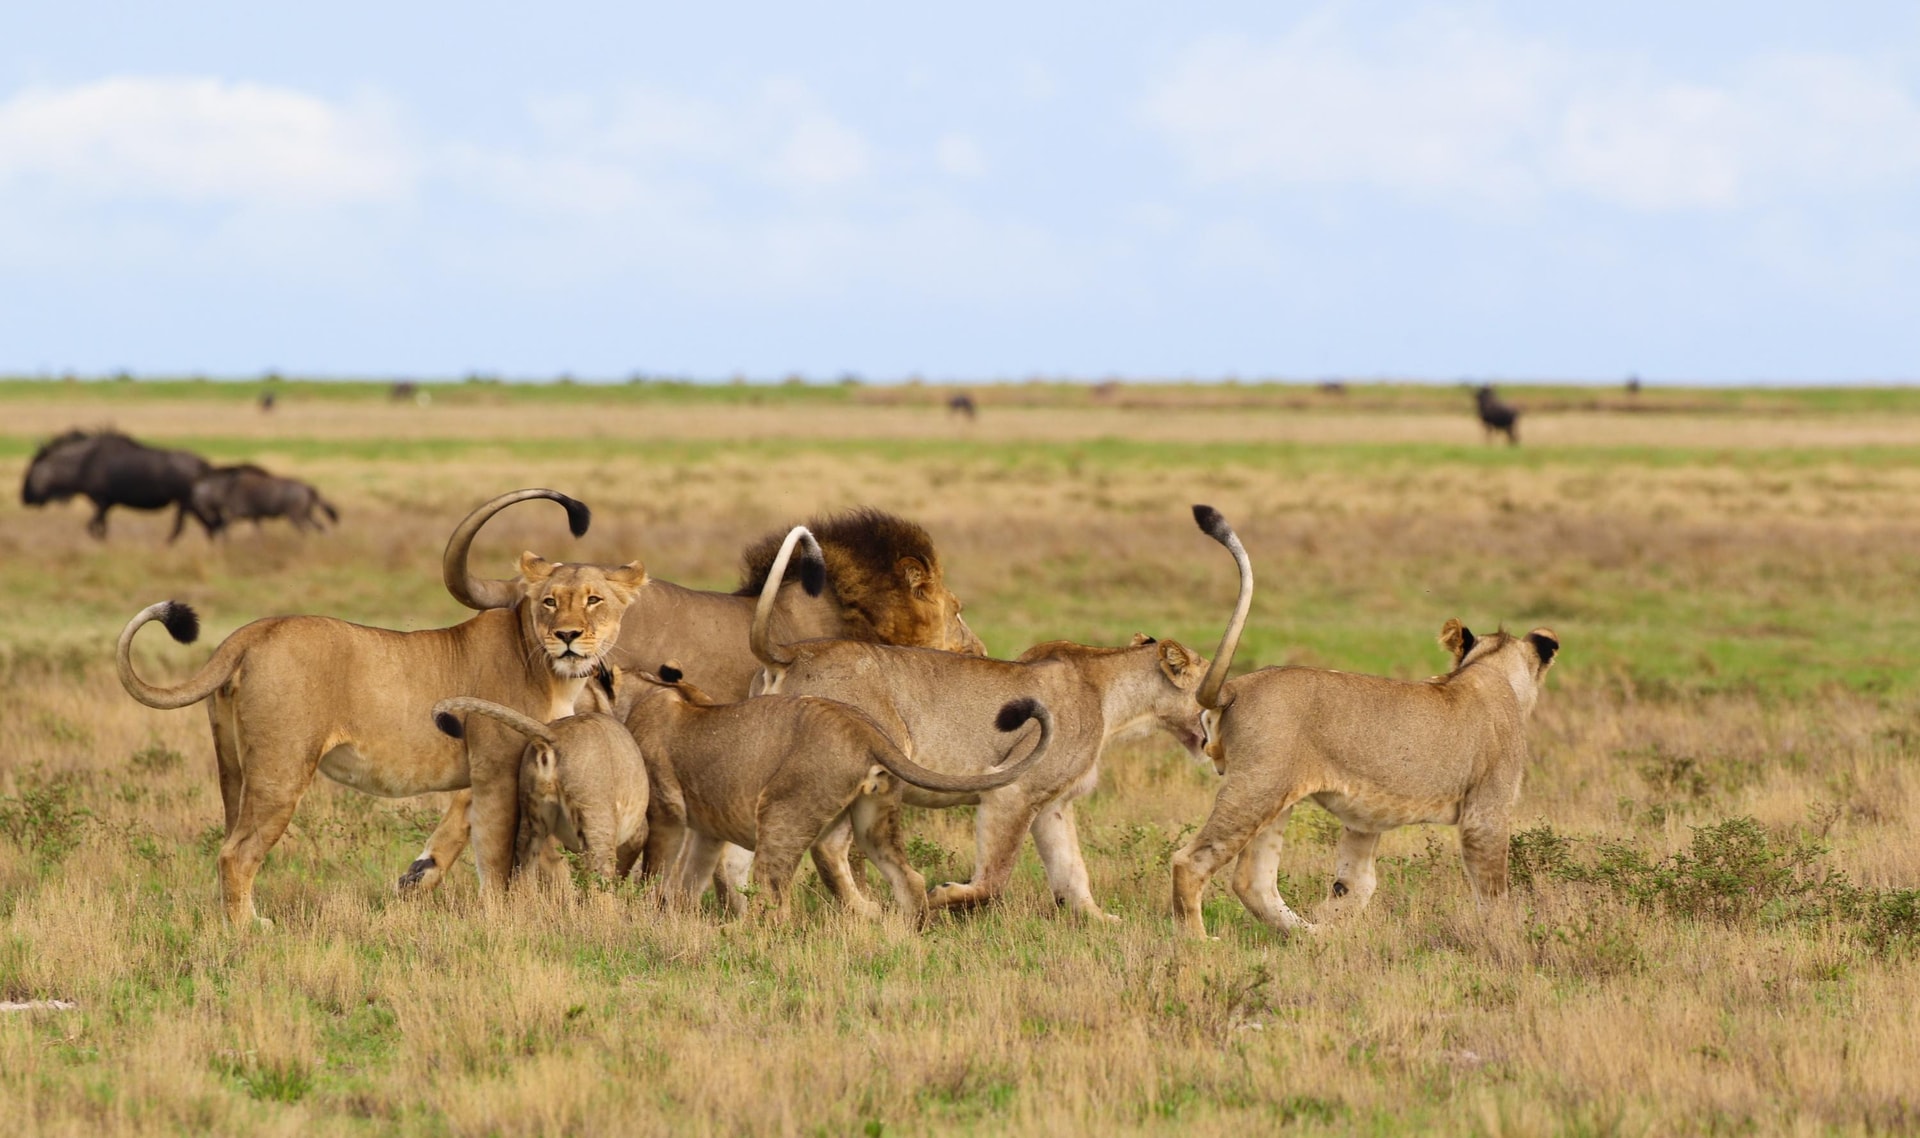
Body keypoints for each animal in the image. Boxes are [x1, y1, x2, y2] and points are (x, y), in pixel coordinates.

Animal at [430, 696, 648, 886]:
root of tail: (555, 737)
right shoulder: (636, 832)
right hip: (597, 820)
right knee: (600, 884)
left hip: (532, 820)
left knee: (522, 879)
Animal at [611, 658, 1054, 924]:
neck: (649, 691)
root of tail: (864, 731)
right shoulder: (706, 830)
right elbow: (691, 879)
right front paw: (674, 919)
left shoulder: (667, 811)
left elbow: (656, 869)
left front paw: (646, 913)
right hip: (871, 819)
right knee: (907, 877)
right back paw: (903, 932)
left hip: (784, 814)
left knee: (775, 895)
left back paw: (746, 938)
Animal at [750, 525, 1209, 921]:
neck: (1117, 699)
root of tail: (792, 653)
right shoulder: (1014, 790)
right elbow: (994, 878)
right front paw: (942, 896)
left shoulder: (1054, 805)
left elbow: (1073, 871)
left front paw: (1101, 921)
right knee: (828, 847)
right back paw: (883, 908)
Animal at [1171, 504, 1560, 938]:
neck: (1489, 670)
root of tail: (1237, 685)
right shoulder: (1486, 812)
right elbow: (1493, 893)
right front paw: (1506, 938)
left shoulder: (1365, 820)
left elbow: (1354, 884)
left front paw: (1337, 927)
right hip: (1256, 787)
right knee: (1191, 861)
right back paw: (1198, 940)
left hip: (1274, 794)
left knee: (1254, 881)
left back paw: (1310, 936)